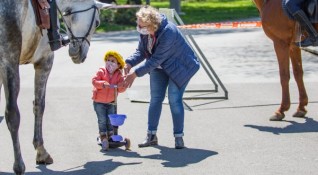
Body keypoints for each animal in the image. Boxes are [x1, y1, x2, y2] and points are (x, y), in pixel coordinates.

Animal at [0, 0, 109, 174]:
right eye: (97, 22)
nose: (80, 54)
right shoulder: (45, 61)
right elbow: (39, 106)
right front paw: (41, 152)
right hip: (10, 62)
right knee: (12, 114)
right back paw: (19, 165)